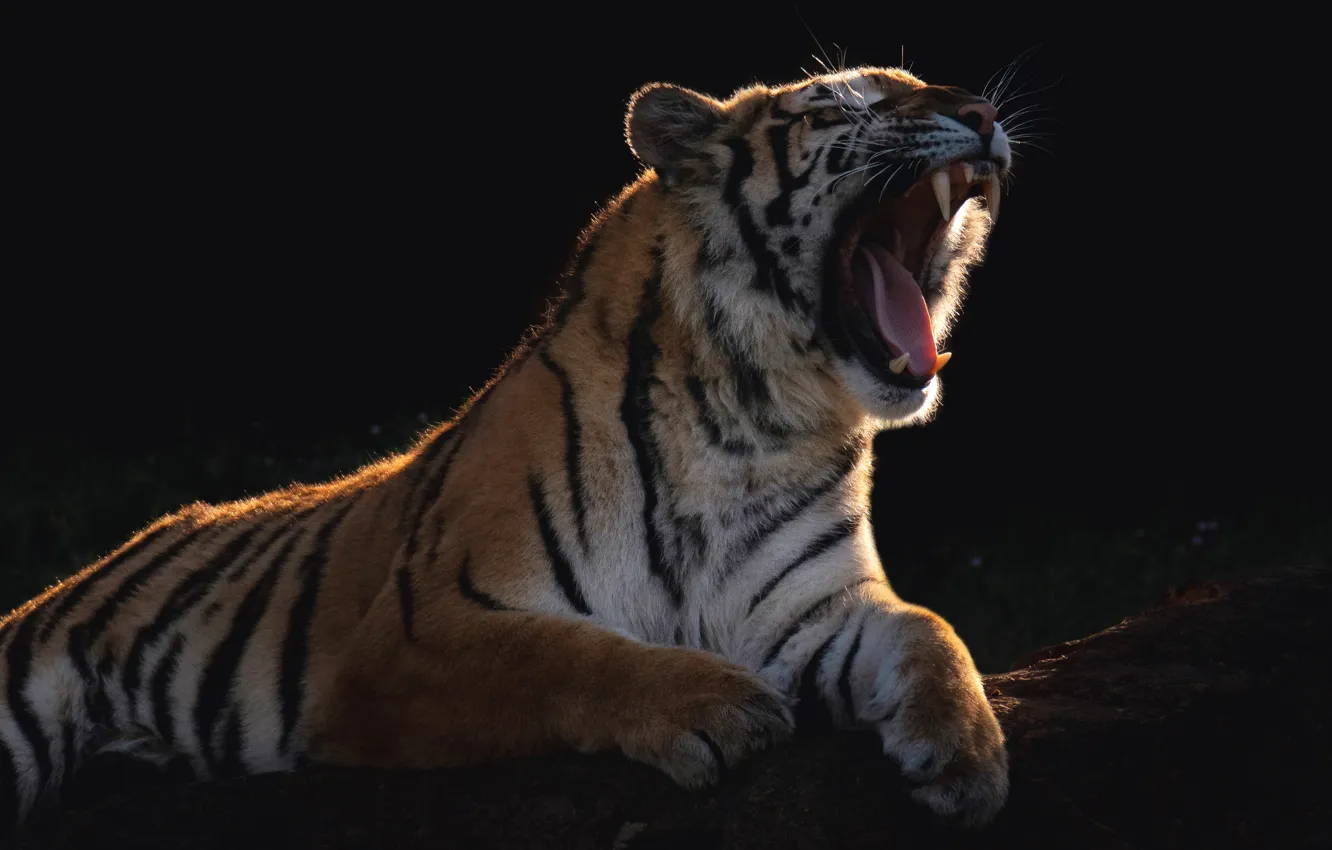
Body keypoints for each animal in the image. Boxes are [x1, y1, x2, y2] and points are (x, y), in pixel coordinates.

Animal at [1, 64, 1014, 834]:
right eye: (847, 102)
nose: (981, 113)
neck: (755, 432)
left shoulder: (814, 614)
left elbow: (930, 630)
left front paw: (966, 753)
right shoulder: (417, 632)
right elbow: (569, 656)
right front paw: (721, 709)